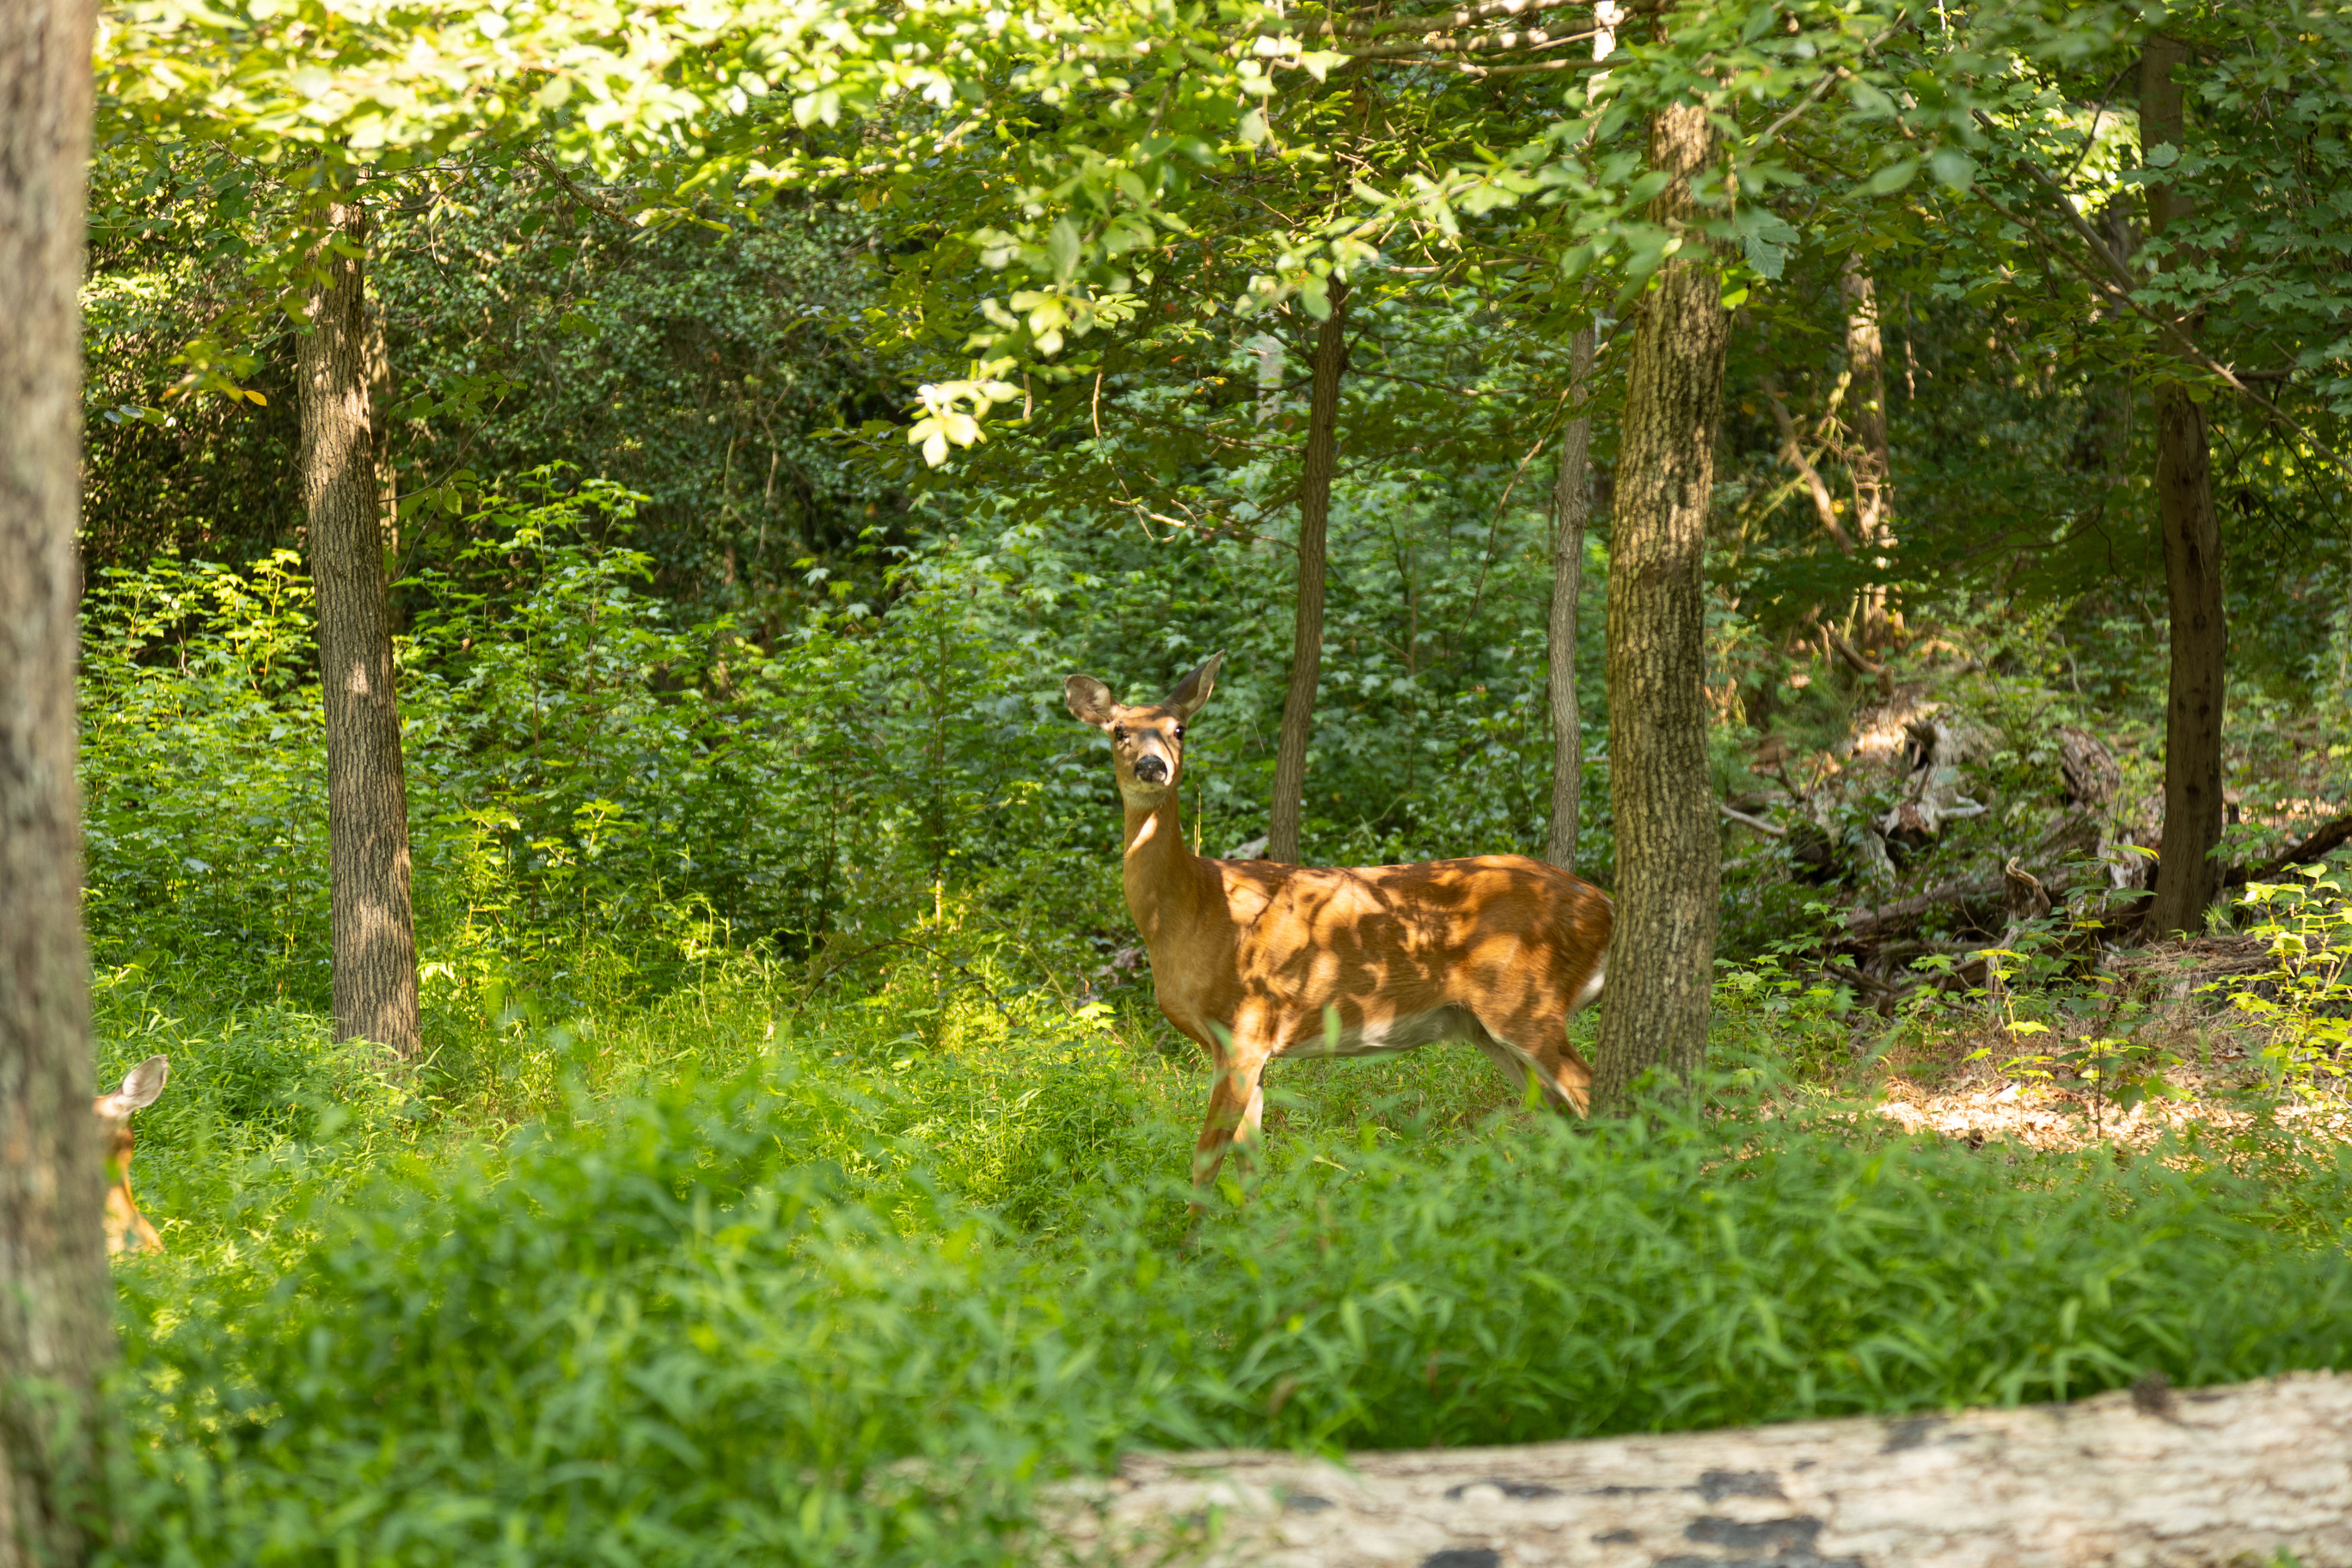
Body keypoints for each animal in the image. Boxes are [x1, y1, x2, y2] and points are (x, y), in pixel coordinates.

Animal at [1065, 653, 1611, 1195]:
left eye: (1178, 729)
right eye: (1118, 730)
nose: (1151, 765)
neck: (1192, 911)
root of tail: (1604, 907)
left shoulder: (1246, 1027)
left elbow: (1205, 1160)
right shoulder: (1242, 1049)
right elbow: (1248, 1162)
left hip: (1526, 1000)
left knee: (1588, 1095)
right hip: (1483, 1026)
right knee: (1560, 1113)